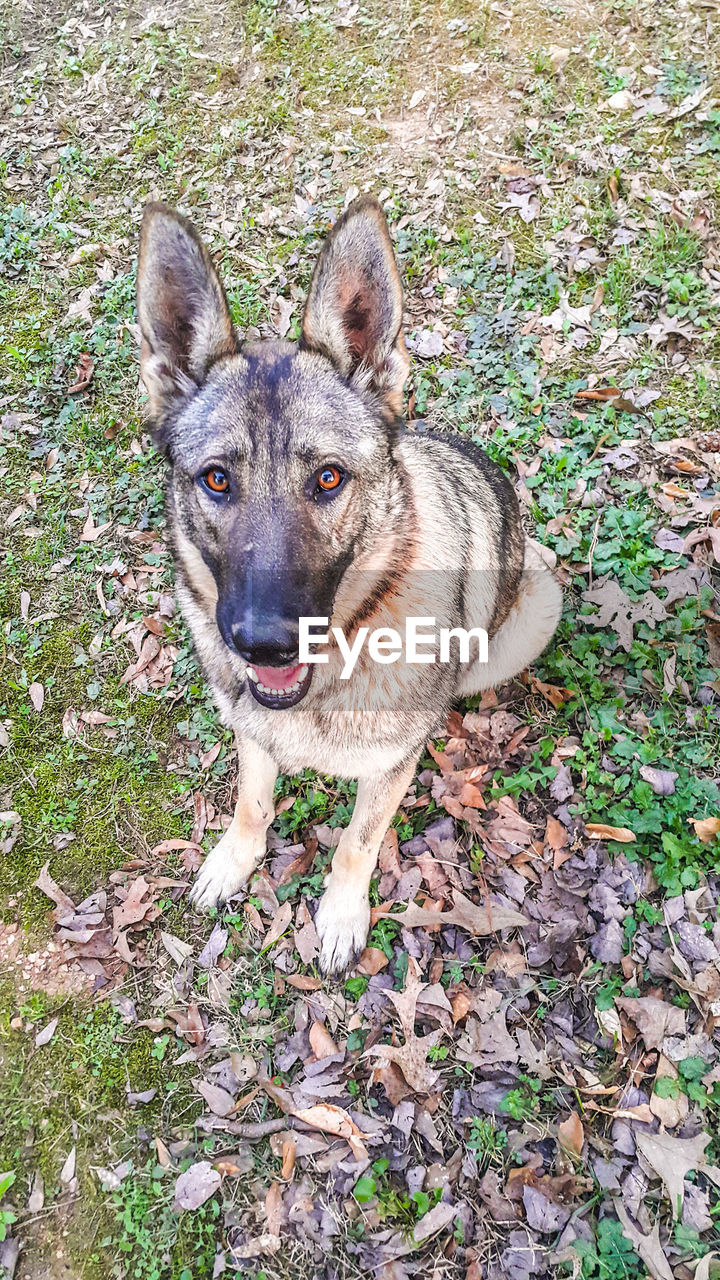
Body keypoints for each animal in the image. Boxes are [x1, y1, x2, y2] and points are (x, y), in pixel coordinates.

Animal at [135, 192, 561, 967]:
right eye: (217, 480)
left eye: (328, 478)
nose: (264, 645)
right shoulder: (253, 736)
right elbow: (252, 803)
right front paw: (235, 860)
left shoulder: (389, 772)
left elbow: (357, 846)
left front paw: (338, 914)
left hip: (536, 603)